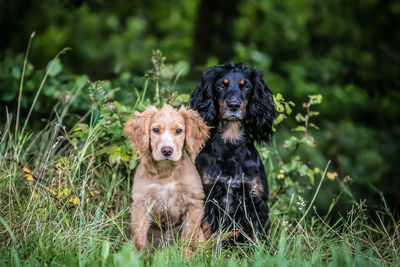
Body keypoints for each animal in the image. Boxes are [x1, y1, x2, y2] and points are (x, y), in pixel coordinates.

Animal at [124, 103, 209, 254]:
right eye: (156, 130)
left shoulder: (194, 203)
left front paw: (185, 256)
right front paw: (139, 256)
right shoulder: (141, 204)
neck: (166, 172)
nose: (167, 151)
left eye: (179, 131)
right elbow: (139, 237)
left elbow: (188, 237)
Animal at [191, 63, 276, 244]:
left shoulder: (255, 200)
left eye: (246, 86)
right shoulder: (207, 197)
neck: (230, 145)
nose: (234, 106)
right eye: (221, 85)